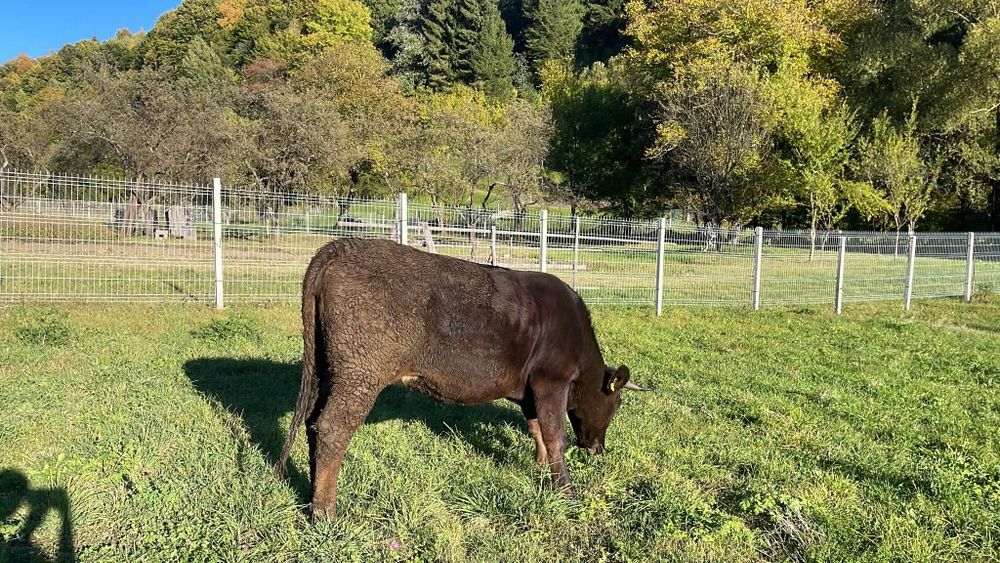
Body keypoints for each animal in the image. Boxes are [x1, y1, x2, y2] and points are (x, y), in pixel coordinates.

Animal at [274, 238, 648, 520]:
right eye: (615, 404)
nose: (598, 449)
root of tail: (340, 247)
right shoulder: (550, 381)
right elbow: (556, 436)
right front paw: (566, 491)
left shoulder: (528, 390)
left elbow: (536, 429)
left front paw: (541, 468)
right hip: (360, 373)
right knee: (332, 429)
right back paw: (325, 512)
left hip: (328, 371)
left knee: (312, 422)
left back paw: (312, 494)